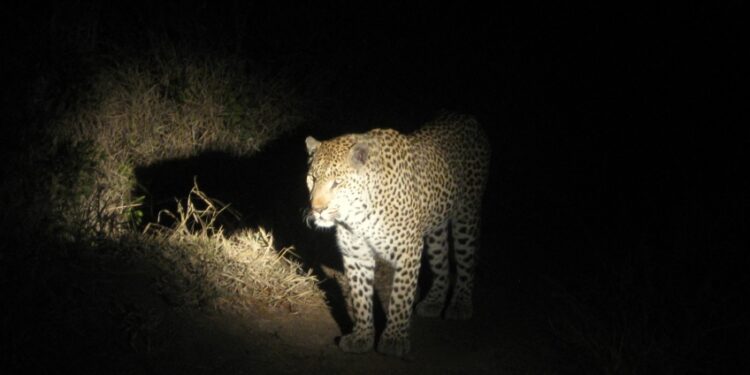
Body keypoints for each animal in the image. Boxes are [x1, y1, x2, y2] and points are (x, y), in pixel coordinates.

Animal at [306, 113, 494, 356]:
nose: (317, 209)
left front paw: (394, 339)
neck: (357, 216)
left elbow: (400, 296)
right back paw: (433, 301)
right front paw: (362, 337)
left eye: (337, 183)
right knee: (441, 263)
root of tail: (465, 116)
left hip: (466, 216)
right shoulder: (356, 255)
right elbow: (360, 297)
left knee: (465, 262)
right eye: (312, 178)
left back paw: (460, 304)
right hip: (435, 229)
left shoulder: (408, 250)